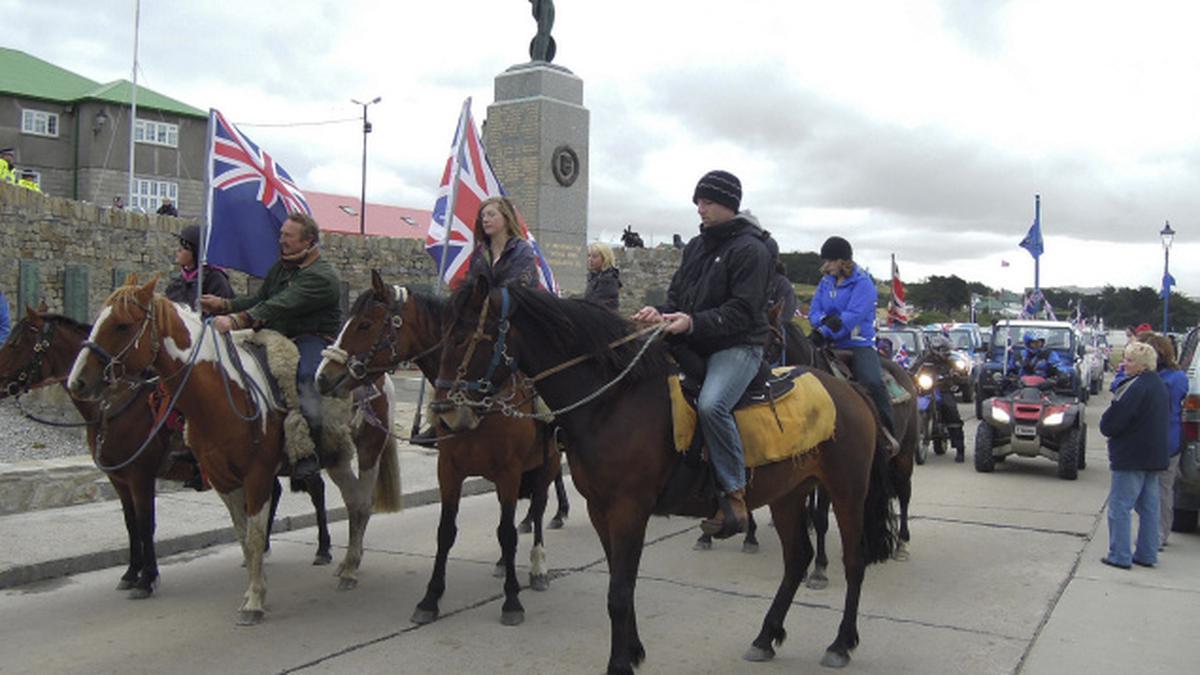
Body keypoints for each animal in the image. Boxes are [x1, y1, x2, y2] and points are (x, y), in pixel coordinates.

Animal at [66, 277, 398, 619]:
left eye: (121, 325)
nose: (77, 381)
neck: (222, 393)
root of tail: (377, 376)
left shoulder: (256, 475)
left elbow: (254, 534)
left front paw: (254, 601)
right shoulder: (221, 479)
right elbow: (243, 535)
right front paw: (254, 587)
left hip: (368, 451)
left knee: (361, 504)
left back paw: (349, 568)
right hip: (337, 459)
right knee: (352, 501)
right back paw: (345, 563)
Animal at [316, 265, 564, 624]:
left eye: (365, 324)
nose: (323, 377)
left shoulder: (509, 472)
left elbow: (507, 532)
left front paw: (512, 601)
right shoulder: (449, 471)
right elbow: (446, 531)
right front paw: (430, 598)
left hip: (548, 464)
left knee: (540, 505)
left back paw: (538, 567)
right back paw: (502, 564)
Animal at [436, 277, 897, 667]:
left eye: (462, 336)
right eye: (445, 334)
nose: (445, 411)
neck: (612, 402)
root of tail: (850, 391)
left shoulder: (629, 508)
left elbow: (619, 592)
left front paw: (620, 663)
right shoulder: (602, 509)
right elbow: (621, 583)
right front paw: (633, 650)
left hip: (847, 490)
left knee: (853, 560)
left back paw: (840, 643)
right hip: (789, 493)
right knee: (797, 557)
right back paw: (766, 637)